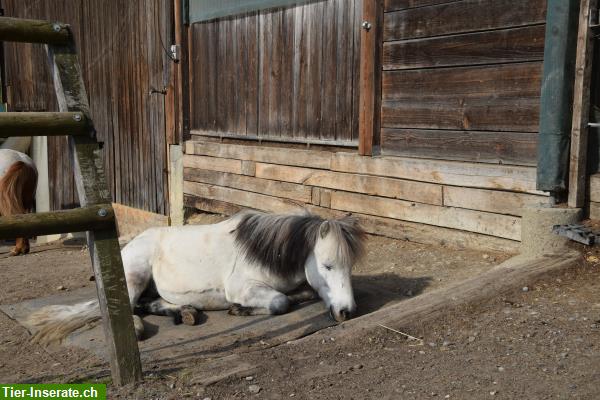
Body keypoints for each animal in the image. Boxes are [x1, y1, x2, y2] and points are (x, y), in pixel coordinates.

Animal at [27, 211, 366, 342]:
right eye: (327, 266)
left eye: (349, 267)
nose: (347, 312)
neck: (264, 251)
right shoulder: (242, 287)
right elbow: (280, 303)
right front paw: (239, 310)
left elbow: (301, 294)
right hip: (134, 276)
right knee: (126, 308)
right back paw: (138, 328)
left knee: (149, 303)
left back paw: (186, 312)